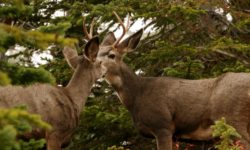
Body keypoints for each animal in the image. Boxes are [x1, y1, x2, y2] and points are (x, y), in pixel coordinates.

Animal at [95, 12, 250, 150]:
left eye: (111, 55)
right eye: (95, 54)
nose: (95, 66)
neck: (138, 95)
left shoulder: (163, 125)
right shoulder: (175, 136)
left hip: (233, 119)